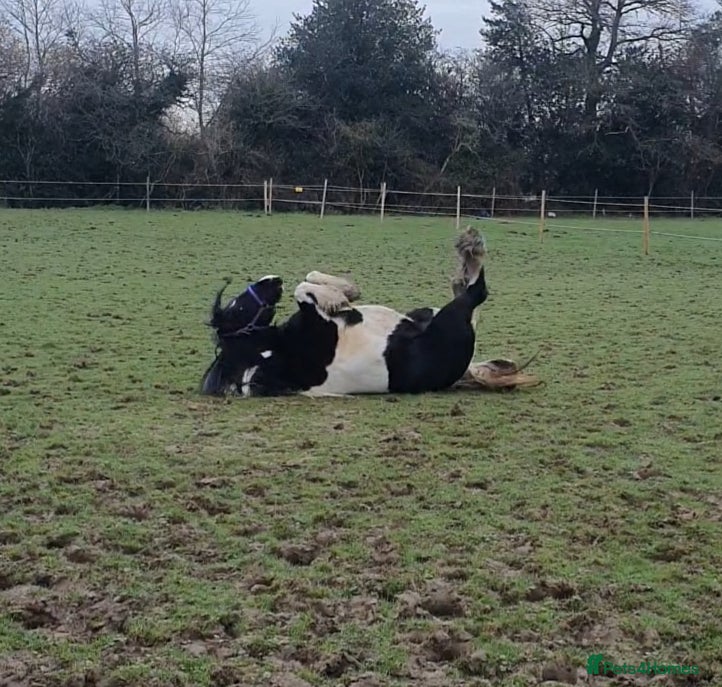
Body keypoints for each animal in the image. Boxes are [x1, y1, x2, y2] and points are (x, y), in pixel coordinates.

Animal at [199, 228, 538, 397]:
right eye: (238, 305)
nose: (273, 280)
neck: (277, 351)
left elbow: (310, 278)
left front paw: (343, 295)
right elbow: (302, 288)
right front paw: (337, 298)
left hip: (425, 312)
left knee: (460, 290)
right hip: (452, 319)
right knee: (476, 292)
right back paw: (473, 247)